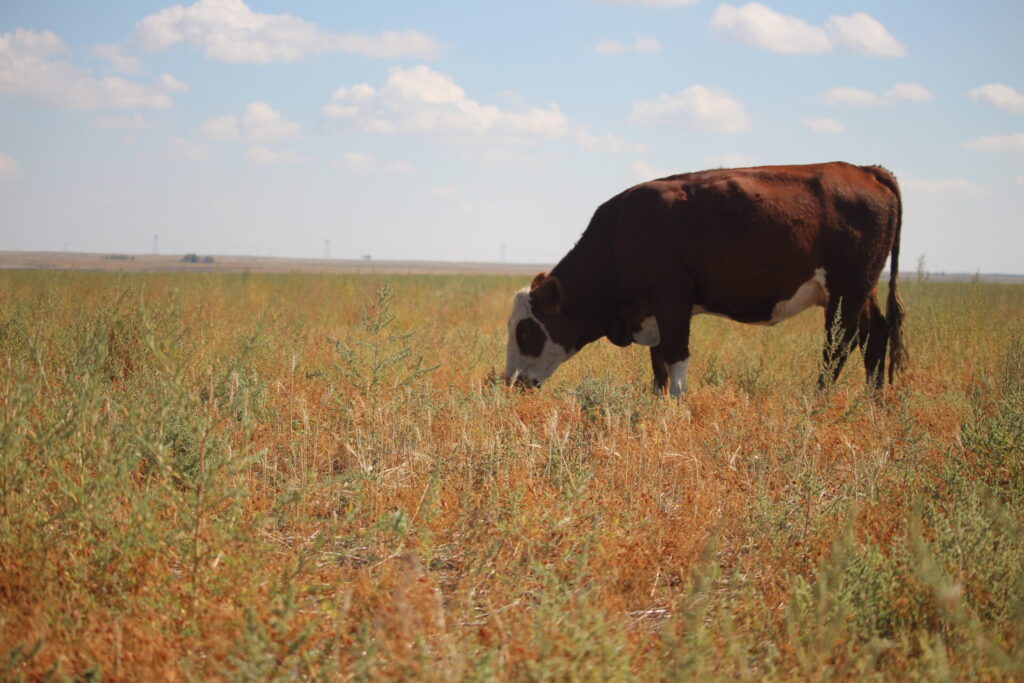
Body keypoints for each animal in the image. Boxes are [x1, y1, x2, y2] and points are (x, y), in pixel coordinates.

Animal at [503, 161, 905, 395]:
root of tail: (865, 169)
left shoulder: (672, 302)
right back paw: (872, 402)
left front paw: (676, 409)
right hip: (863, 289)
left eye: (525, 331)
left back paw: (819, 401)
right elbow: (658, 366)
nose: (511, 382)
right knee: (875, 335)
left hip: (847, 291)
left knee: (838, 347)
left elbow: (676, 360)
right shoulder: (652, 313)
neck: (620, 235)